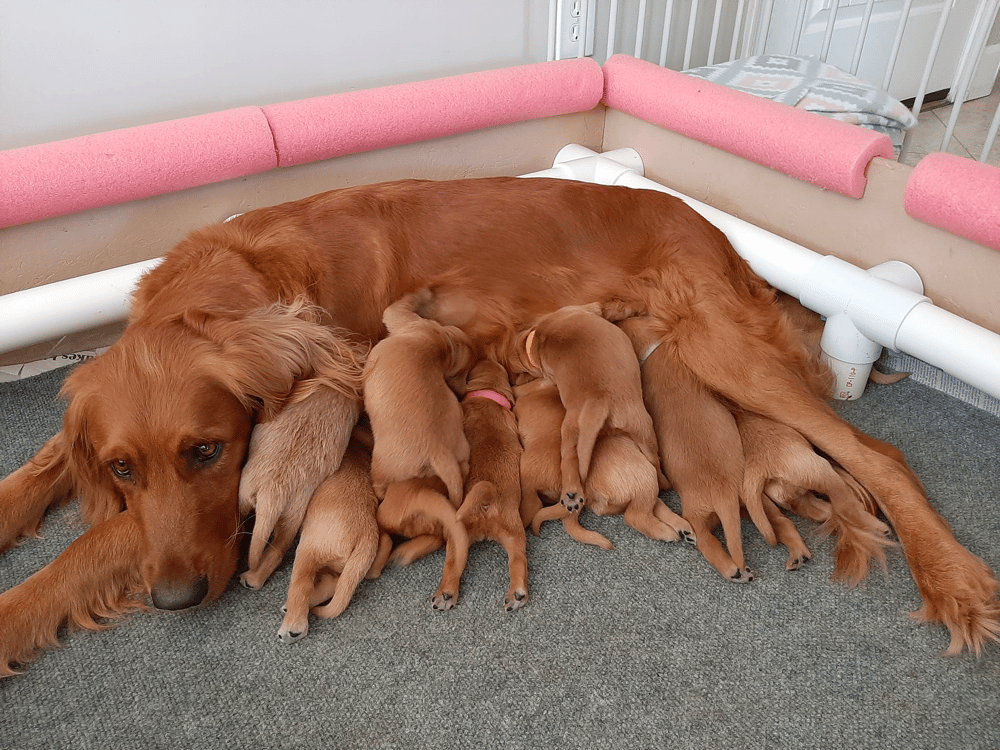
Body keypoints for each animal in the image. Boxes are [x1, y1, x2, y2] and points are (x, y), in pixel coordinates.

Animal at [282, 434, 394, 648]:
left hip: (309, 549)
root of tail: (367, 532)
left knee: (302, 587)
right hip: (345, 563)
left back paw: (293, 626)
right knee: (337, 583)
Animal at [508, 302, 664, 516]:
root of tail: (598, 401)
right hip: (640, 427)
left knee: (570, 460)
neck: (535, 339)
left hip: (579, 430)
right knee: (654, 460)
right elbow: (610, 309)